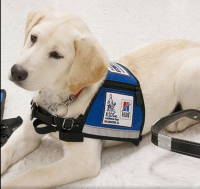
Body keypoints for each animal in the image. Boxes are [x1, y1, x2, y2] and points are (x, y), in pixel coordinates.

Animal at [1, 7, 200, 188]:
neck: (59, 102)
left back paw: (178, 122)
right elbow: (5, 152)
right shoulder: (26, 133)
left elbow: (31, 175)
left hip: (187, 76)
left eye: (56, 55)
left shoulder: (82, 161)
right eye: (33, 38)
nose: (16, 72)